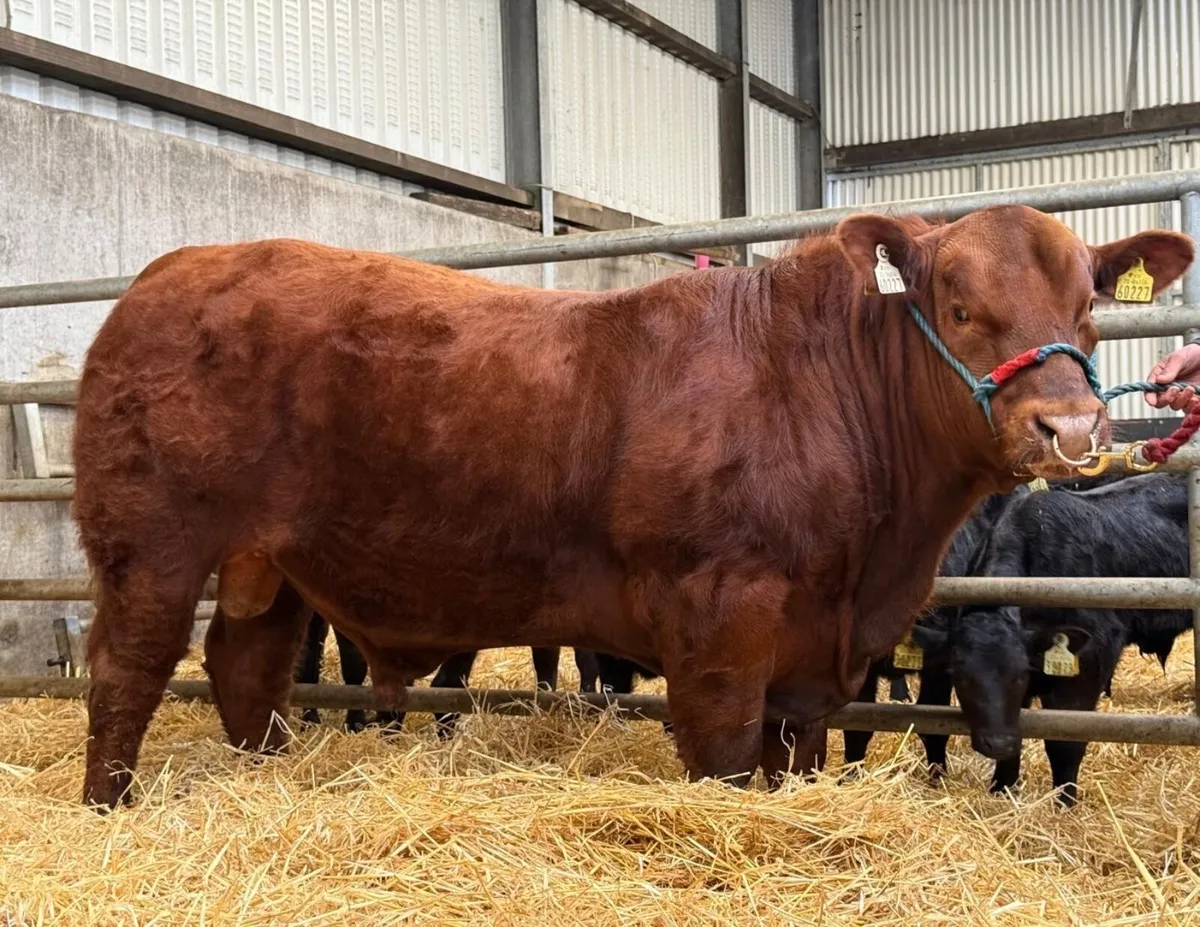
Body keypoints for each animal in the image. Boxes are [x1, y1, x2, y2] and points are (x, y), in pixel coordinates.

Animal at [911, 472, 1189, 806]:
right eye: (960, 677)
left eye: (1019, 675)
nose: (997, 743)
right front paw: (1002, 789)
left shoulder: (1089, 663)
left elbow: (1064, 742)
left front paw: (1065, 803)